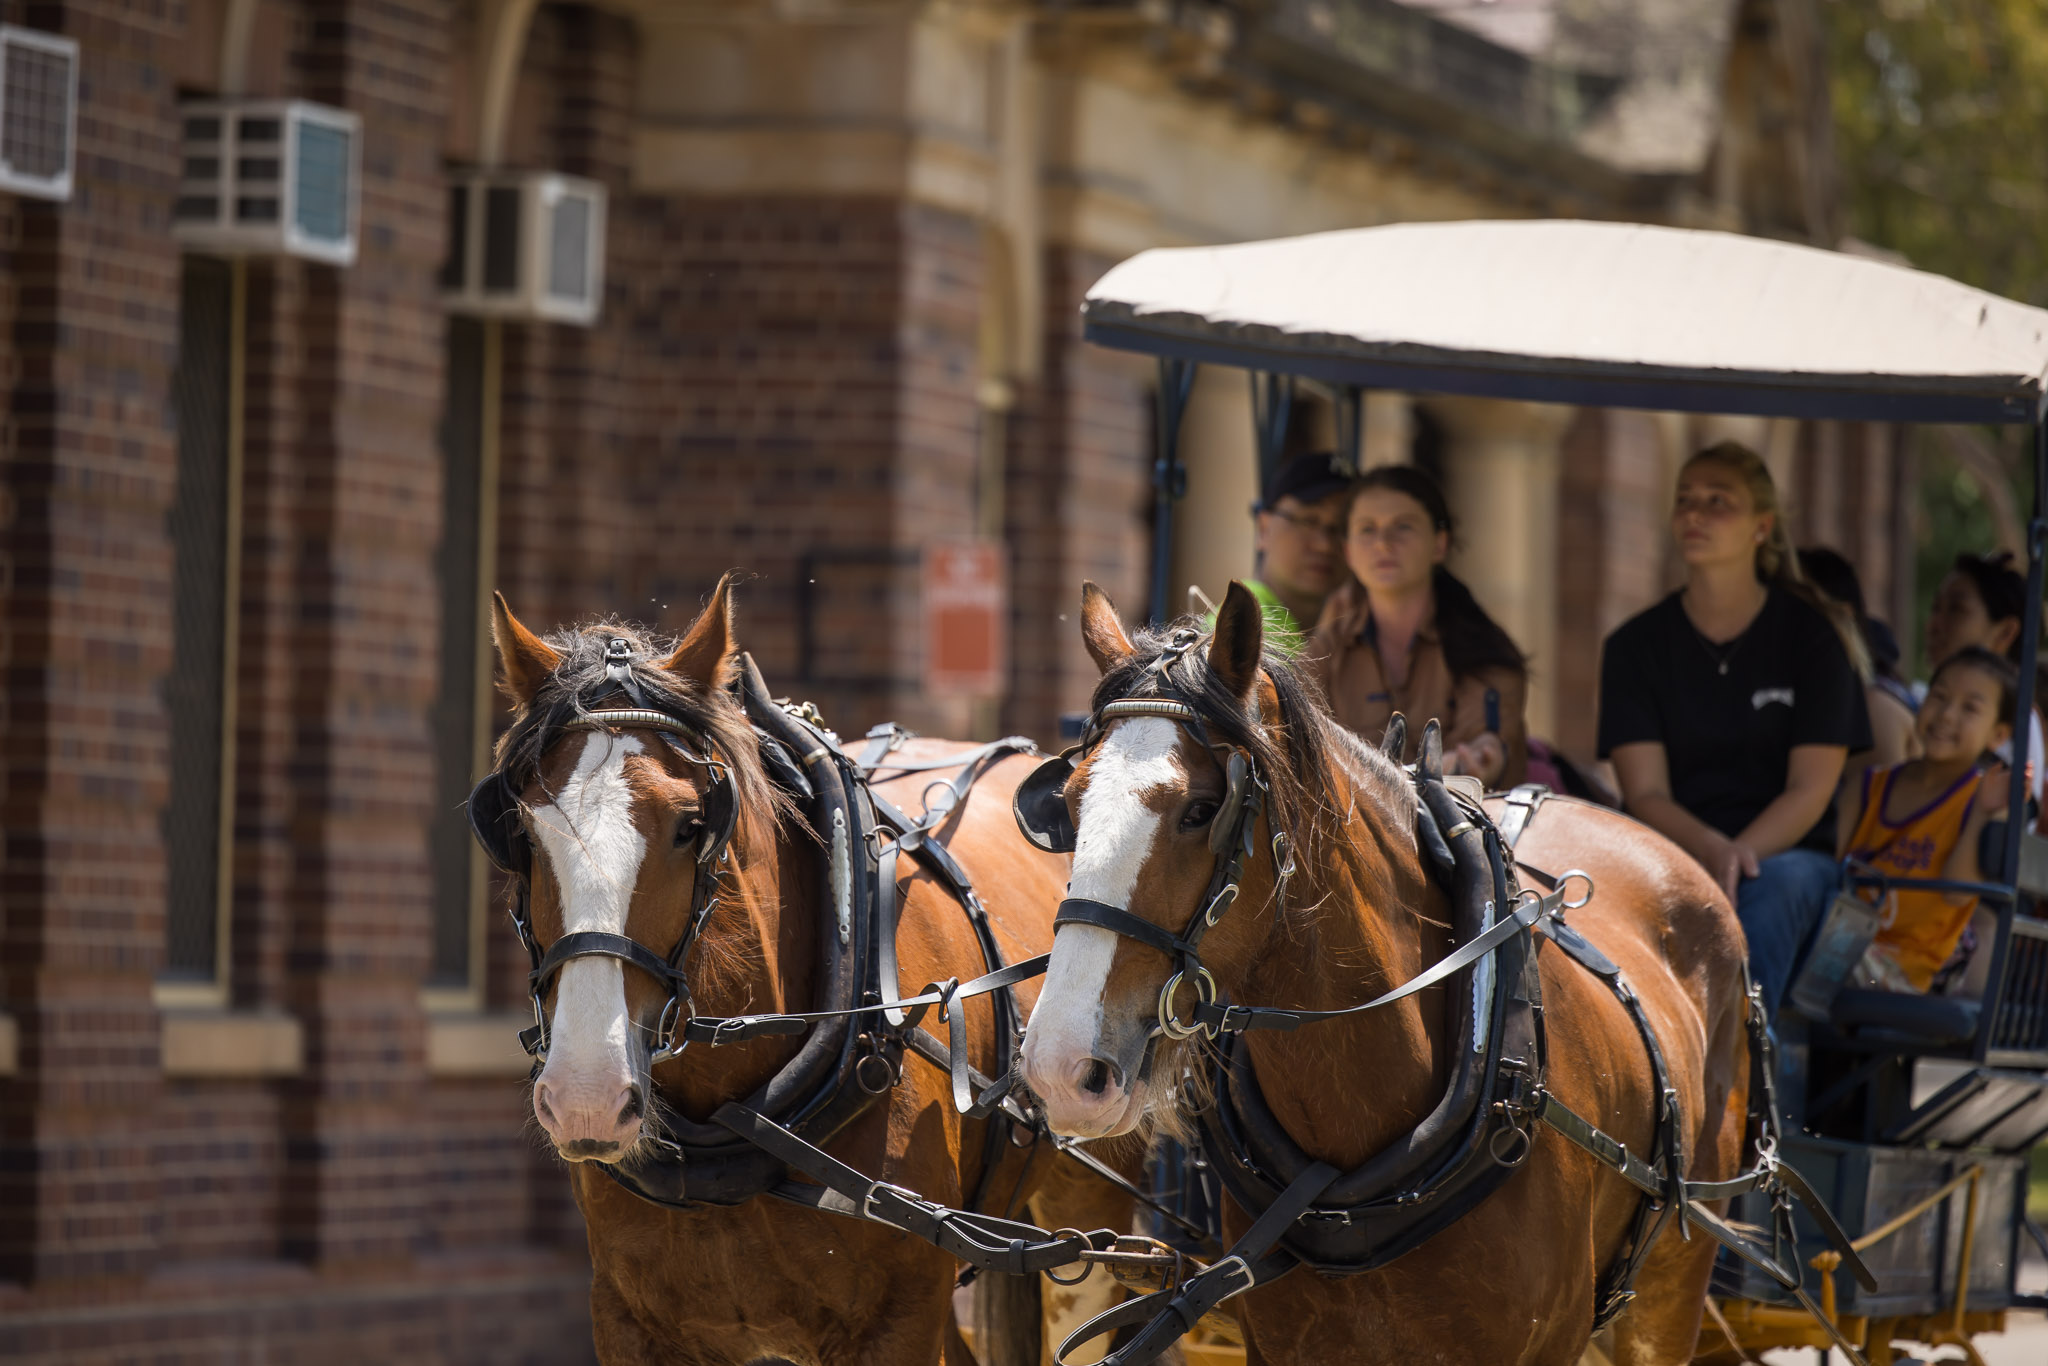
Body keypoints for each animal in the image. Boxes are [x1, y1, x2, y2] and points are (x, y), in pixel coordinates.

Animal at [491, 581, 1138, 1366]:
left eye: (690, 825)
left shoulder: (900, 1322)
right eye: (520, 831)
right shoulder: (630, 1323)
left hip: (1093, 1215)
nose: (584, 1097)